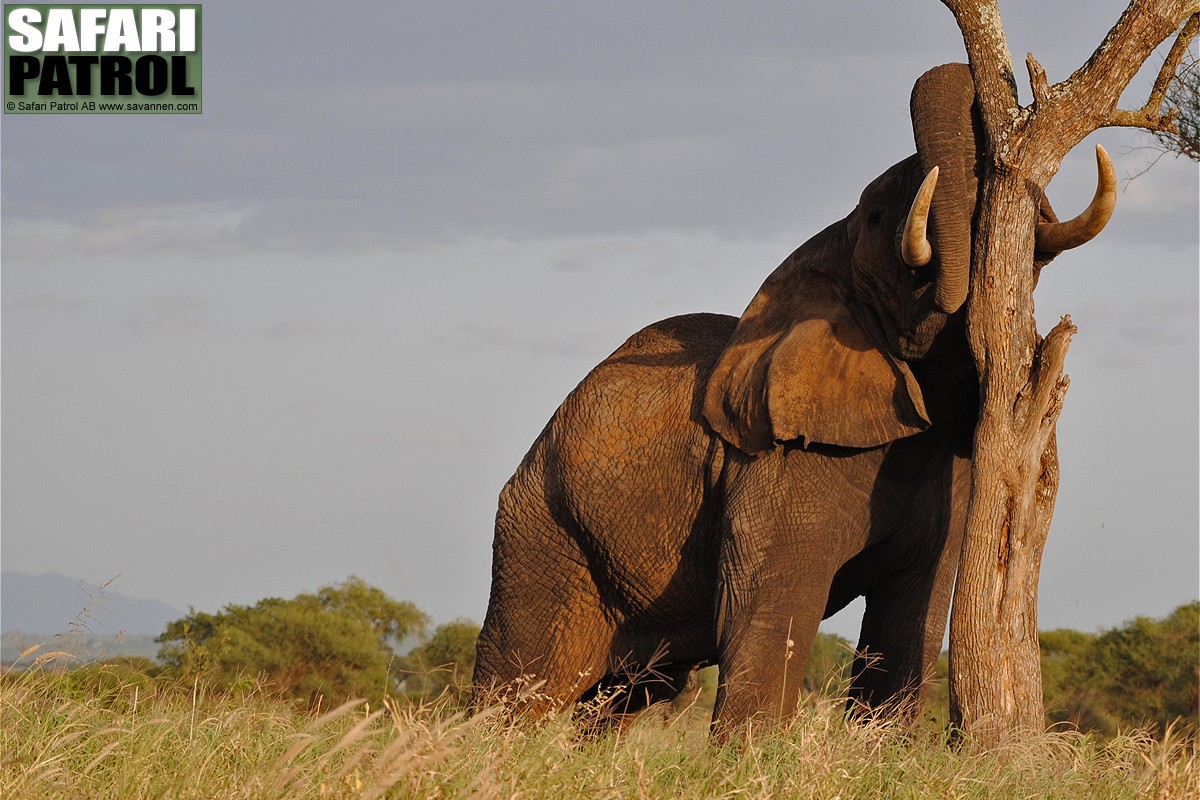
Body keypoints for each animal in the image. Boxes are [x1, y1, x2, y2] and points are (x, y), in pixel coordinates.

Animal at [468, 65, 1113, 734]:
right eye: (876, 217)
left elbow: (913, 616)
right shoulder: (776, 461)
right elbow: (771, 606)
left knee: (625, 699)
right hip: (541, 537)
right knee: (518, 688)